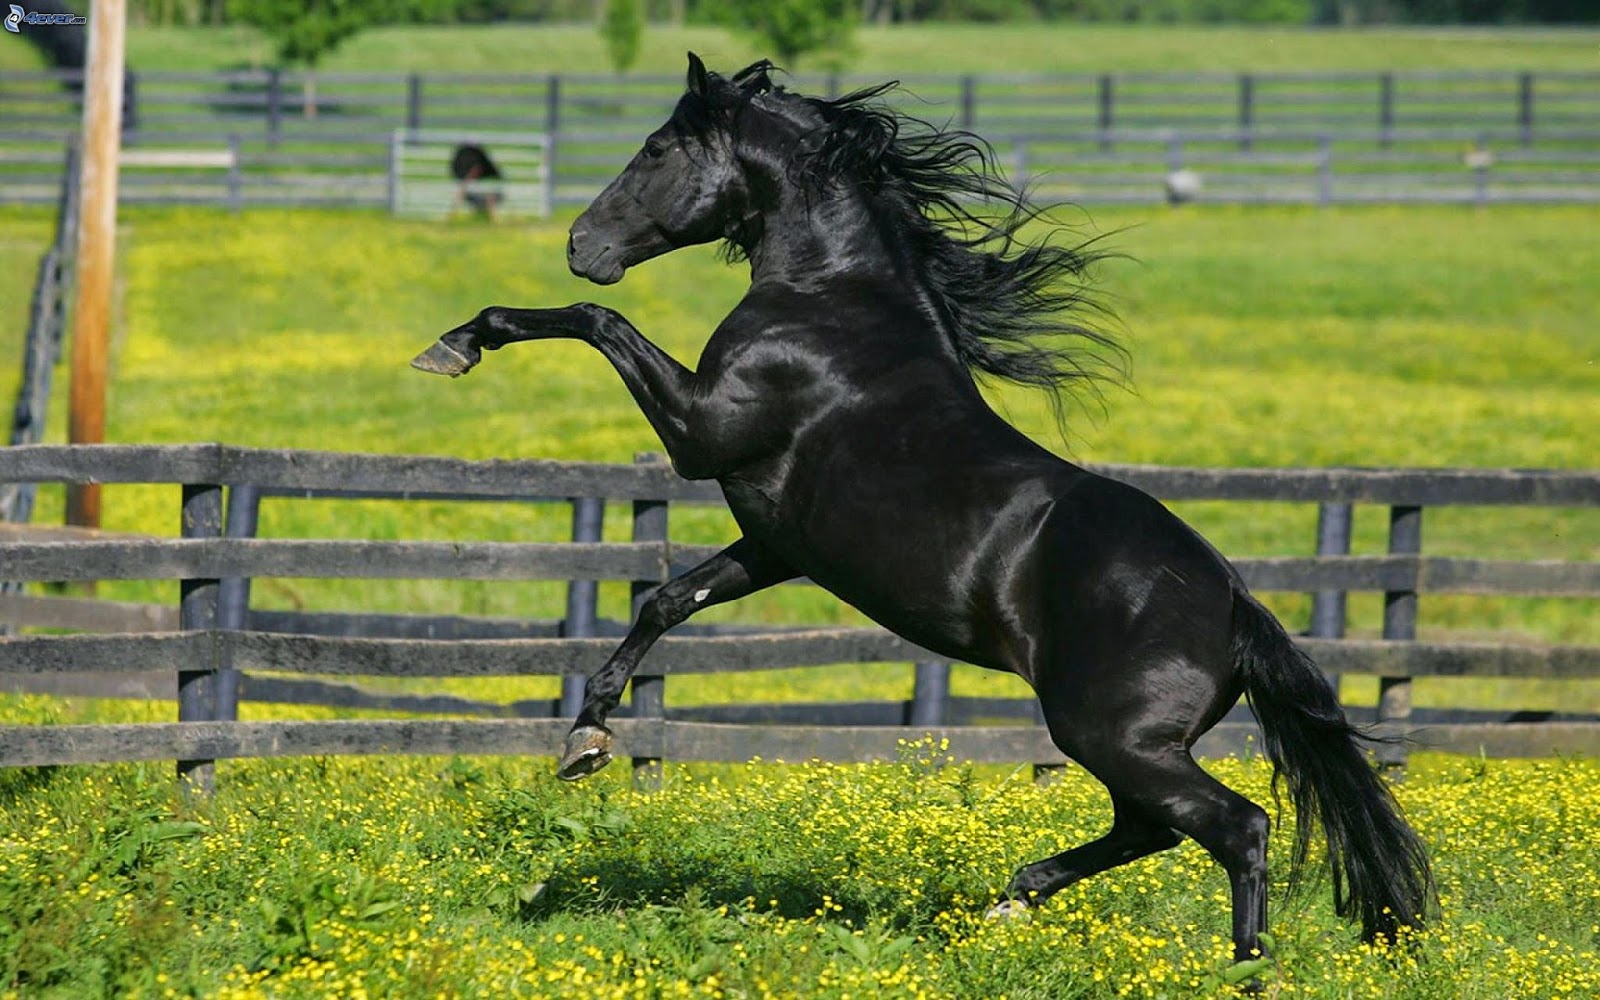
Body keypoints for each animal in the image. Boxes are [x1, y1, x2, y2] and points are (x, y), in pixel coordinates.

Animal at [412, 54, 1434, 963]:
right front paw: (586, 736)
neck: (831, 304)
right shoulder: (776, 543)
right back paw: (1014, 899)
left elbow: (597, 324)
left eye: (659, 146)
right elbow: (666, 600)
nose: (580, 245)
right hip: (1124, 744)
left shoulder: (700, 433)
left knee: (1236, 826)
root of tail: (1233, 604)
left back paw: (1241, 967)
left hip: (1113, 735)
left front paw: (458, 342)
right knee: (1150, 829)